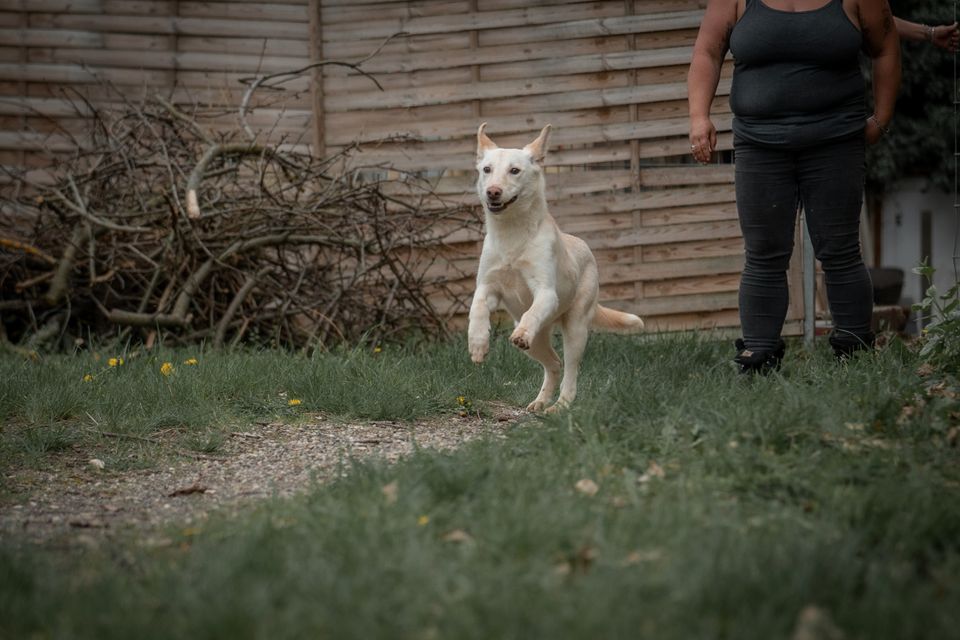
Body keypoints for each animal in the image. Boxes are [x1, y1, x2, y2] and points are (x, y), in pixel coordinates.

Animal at [466, 124, 644, 412]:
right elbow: (478, 309)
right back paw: (540, 401)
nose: (492, 191)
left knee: (570, 368)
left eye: (514, 170)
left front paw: (519, 333)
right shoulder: (487, 287)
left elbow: (532, 313)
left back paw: (561, 405)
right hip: (537, 343)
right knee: (554, 364)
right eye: (487, 169)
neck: (513, 234)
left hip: (576, 328)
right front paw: (478, 344)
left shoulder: (546, 293)